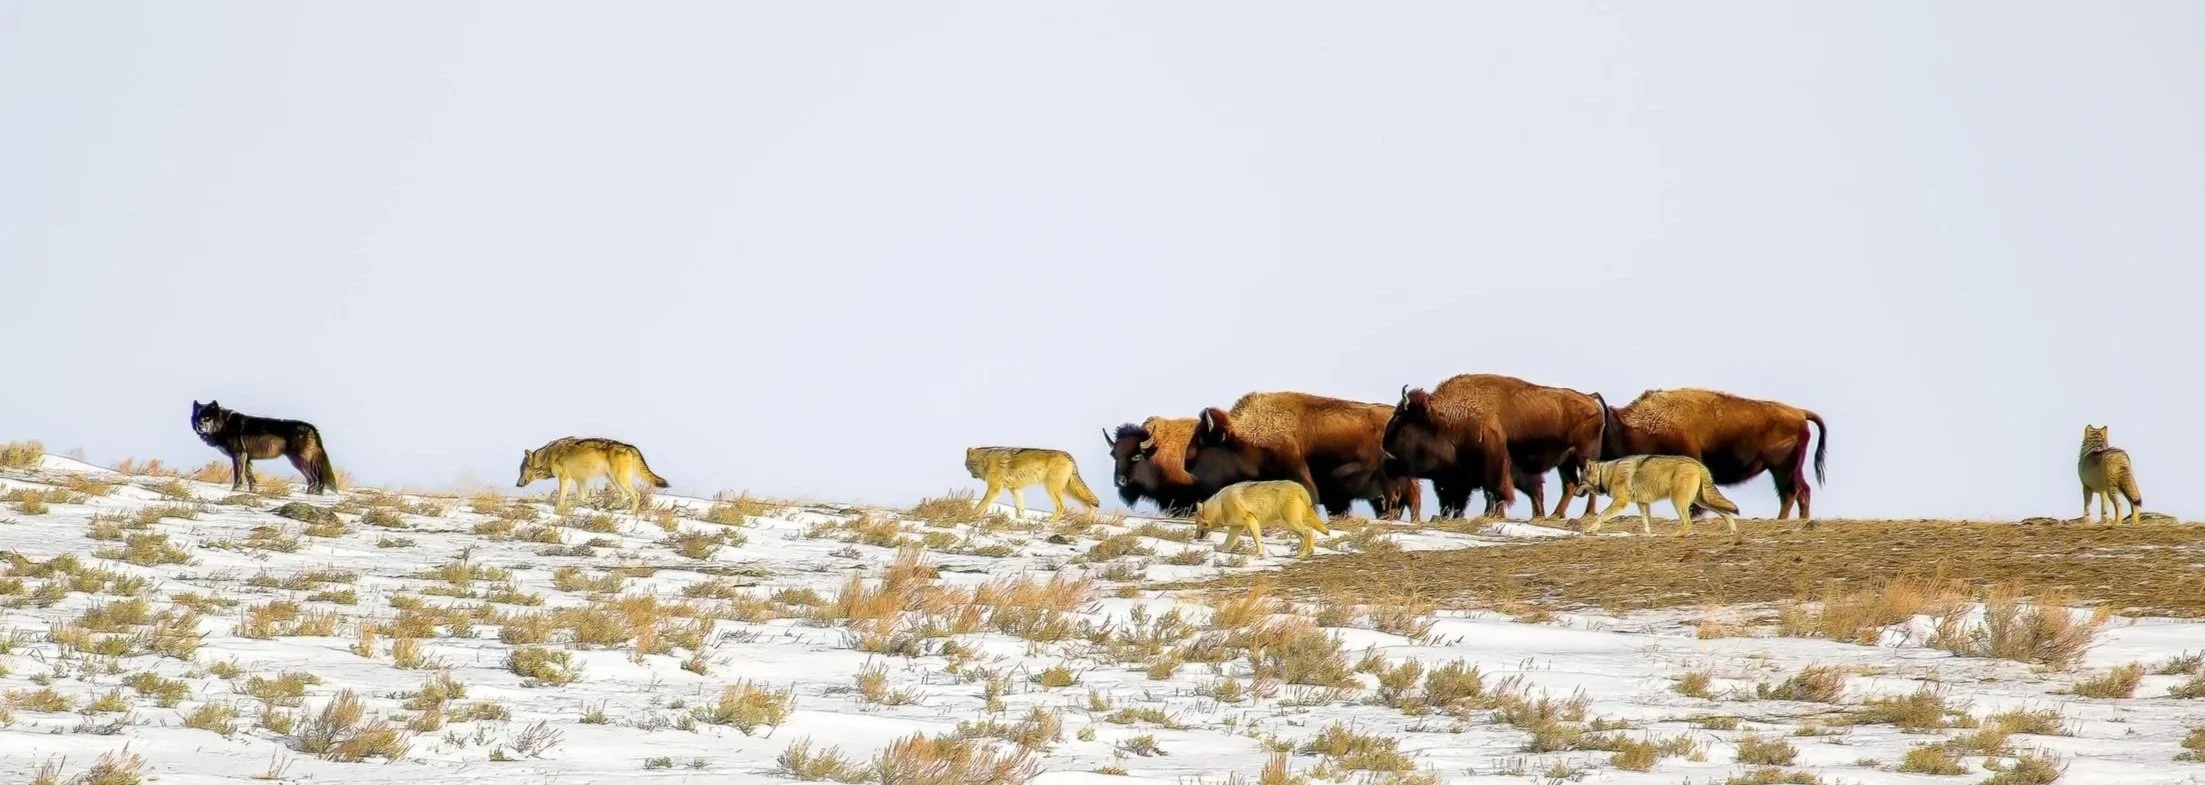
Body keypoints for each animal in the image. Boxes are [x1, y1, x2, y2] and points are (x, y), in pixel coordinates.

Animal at [189, 400, 340, 495]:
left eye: (207, 418)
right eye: (198, 418)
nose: (199, 426)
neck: (224, 425)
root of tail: (311, 427)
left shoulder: (239, 455)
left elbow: (238, 475)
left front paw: (234, 490)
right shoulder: (247, 458)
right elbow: (250, 477)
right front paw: (252, 492)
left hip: (299, 461)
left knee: (315, 479)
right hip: (297, 461)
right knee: (316, 479)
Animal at [516, 437, 670, 516]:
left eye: (522, 469)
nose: (517, 484)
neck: (548, 457)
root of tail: (628, 446)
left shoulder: (565, 478)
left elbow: (562, 498)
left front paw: (557, 510)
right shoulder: (580, 479)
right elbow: (583, 497)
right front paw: (595, 505)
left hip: (618, 478)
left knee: (635, 494)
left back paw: (630, 513)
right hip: (613, 479)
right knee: (624, 494)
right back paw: (610, 508)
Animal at [964, 446, 1102, 521]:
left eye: (967, 467)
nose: (971, 476)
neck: (985, 460)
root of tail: (1069, 456)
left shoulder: (994, 489)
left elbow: (982, 504)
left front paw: (972, 515)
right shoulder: (1015, 489)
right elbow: (1020, 508)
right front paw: (1021, 521)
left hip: (1052, 488)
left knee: (1061, 506)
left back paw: (1049, 523)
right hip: (1068, 490)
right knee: (1088, 506)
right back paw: (1084, 524)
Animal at [1190, 479, 1334, 559]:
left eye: (1197, 523)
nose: (1195, 537)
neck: (1220, 506)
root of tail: (1300, 488)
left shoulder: (1251, 521)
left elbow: (1258, 540)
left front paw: (1259, 554)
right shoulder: (1236, 528)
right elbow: (1228, 543)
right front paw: (1222, 552)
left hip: (1292, 524)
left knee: (1308, 531)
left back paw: (1304, 554)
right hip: (1291, 526)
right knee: (1307, 534)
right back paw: (1306, 552)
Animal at [1573, 454, 1740, 536]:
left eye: (1580, 482)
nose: (1574, 493)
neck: (1606, 474)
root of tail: (1699, 464)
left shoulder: (1620, 502)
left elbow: (1600, 516)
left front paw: (1589, 530)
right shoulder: (1643, 503)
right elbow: (1646, 522)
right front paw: (1649, 535)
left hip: (1678, 501)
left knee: (1687, 523)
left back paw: (1676, 535)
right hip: (1701, 501)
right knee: (1726, 513)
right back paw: (1733, 531)